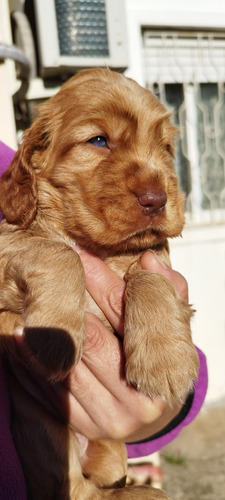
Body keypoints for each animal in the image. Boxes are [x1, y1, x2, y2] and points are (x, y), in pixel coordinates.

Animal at [0, 67, 199, 500]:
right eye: (98, 141)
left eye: (164, 147)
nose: (158, 199)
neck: (100, 246)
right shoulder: (7, 244)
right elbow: (60, 252)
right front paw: (54, 336)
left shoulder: (154, 257)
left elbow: (150, 275)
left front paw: (166, 360)